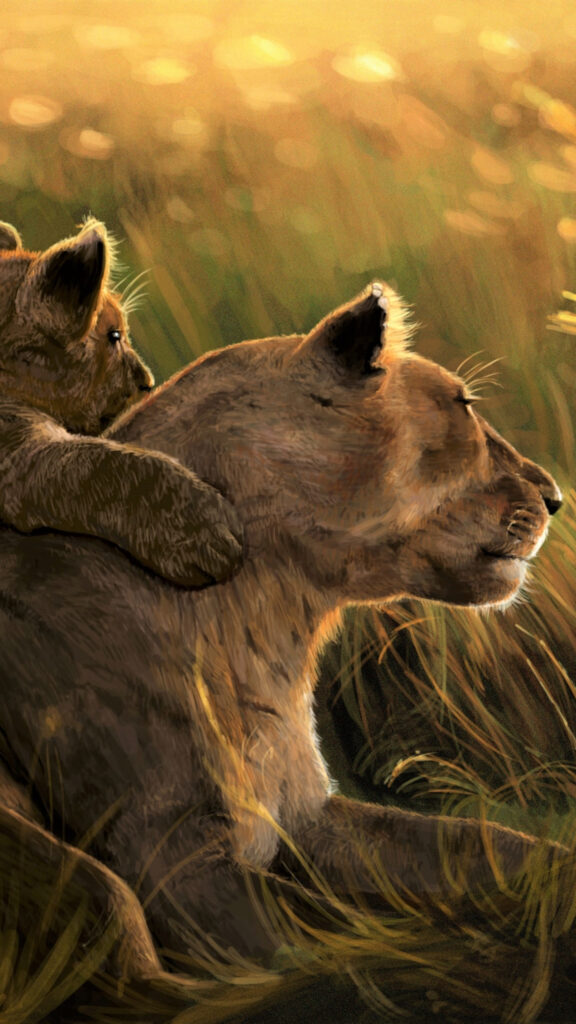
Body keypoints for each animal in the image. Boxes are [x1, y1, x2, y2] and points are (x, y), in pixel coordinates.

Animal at [0, 282, 566, 988]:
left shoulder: (306, 818)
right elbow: (323, 946)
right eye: (463, 407)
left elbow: (482, 847)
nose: (555, 497)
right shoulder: (168, 851)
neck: (269, 622)